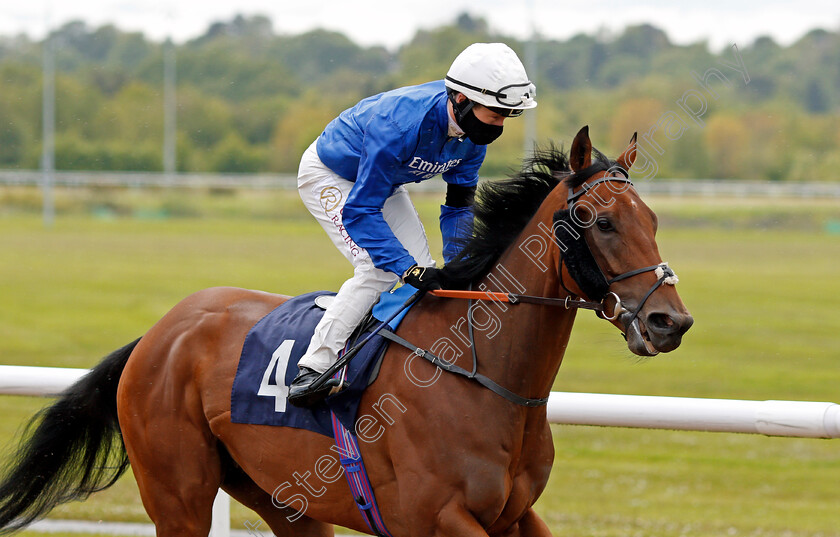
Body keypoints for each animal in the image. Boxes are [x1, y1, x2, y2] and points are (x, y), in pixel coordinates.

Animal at [0, 126, 692, 536]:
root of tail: (155, 335)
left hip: (284, 500)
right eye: (601, 221)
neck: (485, 378)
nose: (671, 321)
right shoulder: (436, 519)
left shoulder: (515, 515)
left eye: (653, 219)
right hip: (179, 494)